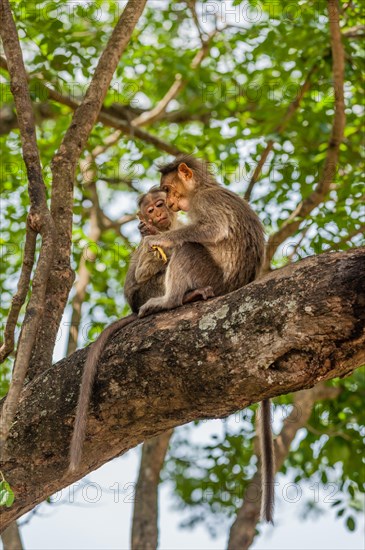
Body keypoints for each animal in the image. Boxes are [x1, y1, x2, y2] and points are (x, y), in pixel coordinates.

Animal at [136, 156, 272, 528]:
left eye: (167, 191)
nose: (168, 205)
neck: (203, 187)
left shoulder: (202, 203)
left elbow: (209, 230)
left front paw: (161, 239)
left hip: (210, 275)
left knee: (190, 248)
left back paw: (169, 301)